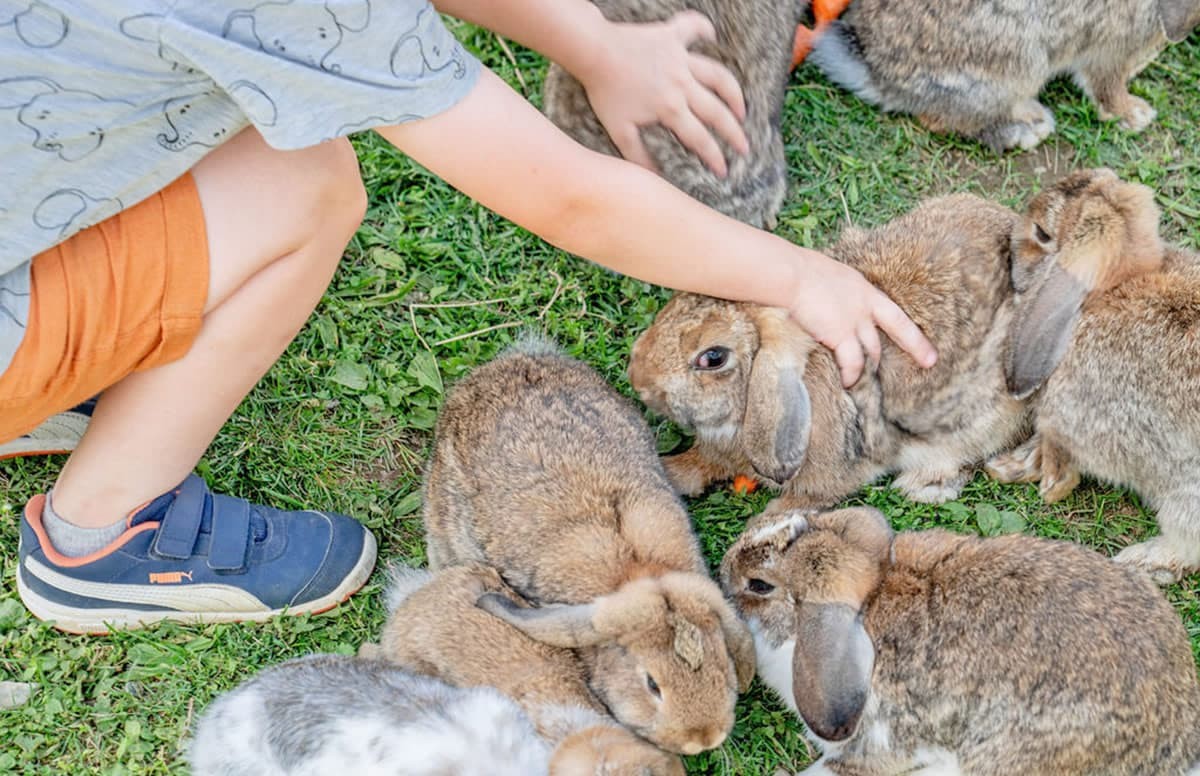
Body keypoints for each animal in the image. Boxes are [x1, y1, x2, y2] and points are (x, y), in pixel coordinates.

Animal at [803, 0, 1200, 151]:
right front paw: (1134, 114)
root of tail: (874, 71)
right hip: (1018, 63)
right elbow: (1107, 85)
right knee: (940, 119)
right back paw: (1025, 129)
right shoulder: (1112, 45)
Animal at [982, 167, 1200, 584]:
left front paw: (1050, 483)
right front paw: (1013, 466)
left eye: (1042, 232)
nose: (1008, 250)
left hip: (1185, 489)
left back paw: (1143, 561)